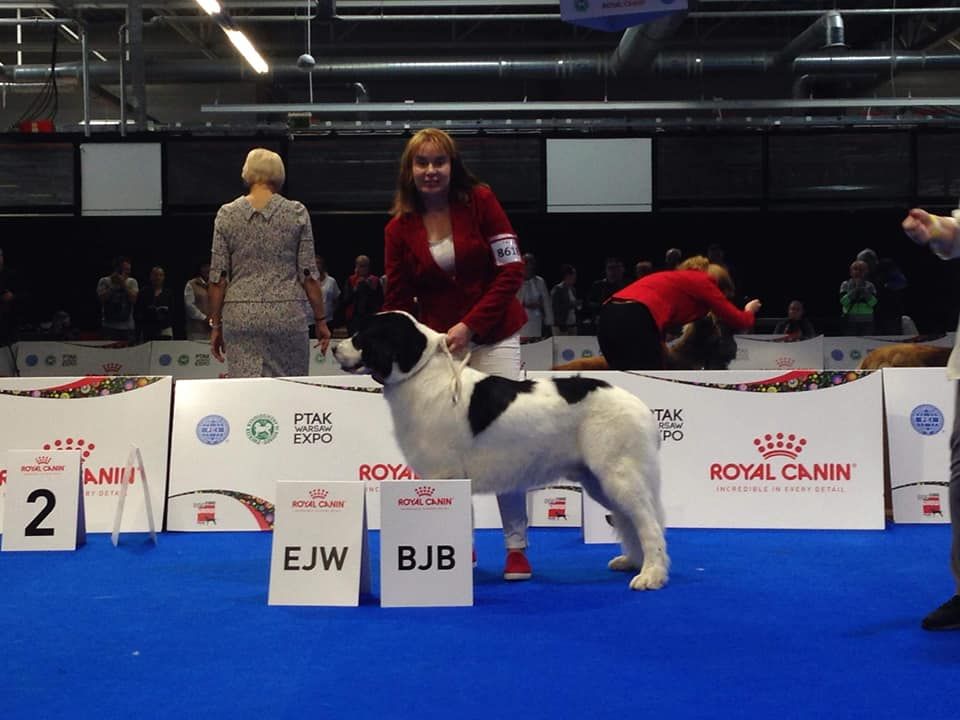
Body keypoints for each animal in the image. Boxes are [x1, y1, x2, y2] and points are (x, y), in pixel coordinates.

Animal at [336, 310, 668, 592]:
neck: (421, 374)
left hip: (618, 473)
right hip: (598, 480)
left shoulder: (444, 476)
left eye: (362, 335)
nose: (336, 349)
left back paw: (651, 575)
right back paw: (634, 562)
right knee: (629, 519)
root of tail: (640, 406)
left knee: (647, 521)